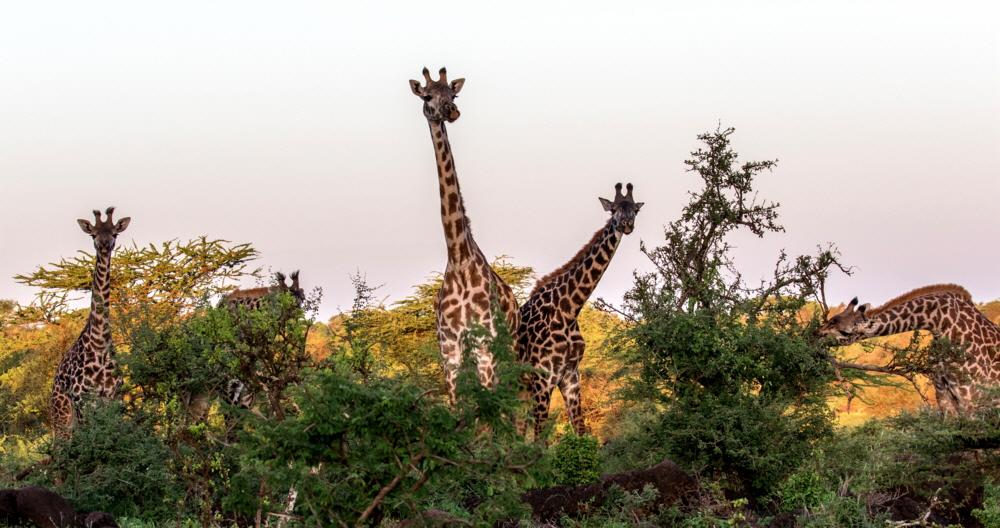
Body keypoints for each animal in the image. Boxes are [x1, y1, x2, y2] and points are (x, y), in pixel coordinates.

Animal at [50, 206, 131, 438]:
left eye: (114, 233)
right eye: (93, 235)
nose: (104, 245)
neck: (99, 344)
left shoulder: (114, 396)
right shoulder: (83, 401)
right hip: (62, 417)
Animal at [408, 67, 520, 404]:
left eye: (453, 94)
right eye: (427, 96)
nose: (451, 111)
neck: (458, 259)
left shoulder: (486, 346)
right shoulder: (449, 349)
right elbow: (458, 408)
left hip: (511, 351)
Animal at [520, 184, 644, 436]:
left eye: (635, 210)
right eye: (613, 209)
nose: (626, 224)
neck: (569, 310)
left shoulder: (570, 377)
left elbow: (581, 431)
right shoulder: (543, 379)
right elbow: (540, 439)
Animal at [820, 282, 1000, 414]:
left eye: (844, 331)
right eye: (831, 319)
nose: (816, 334)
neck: (942, 324)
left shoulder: (972, 397)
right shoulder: (943, 394)